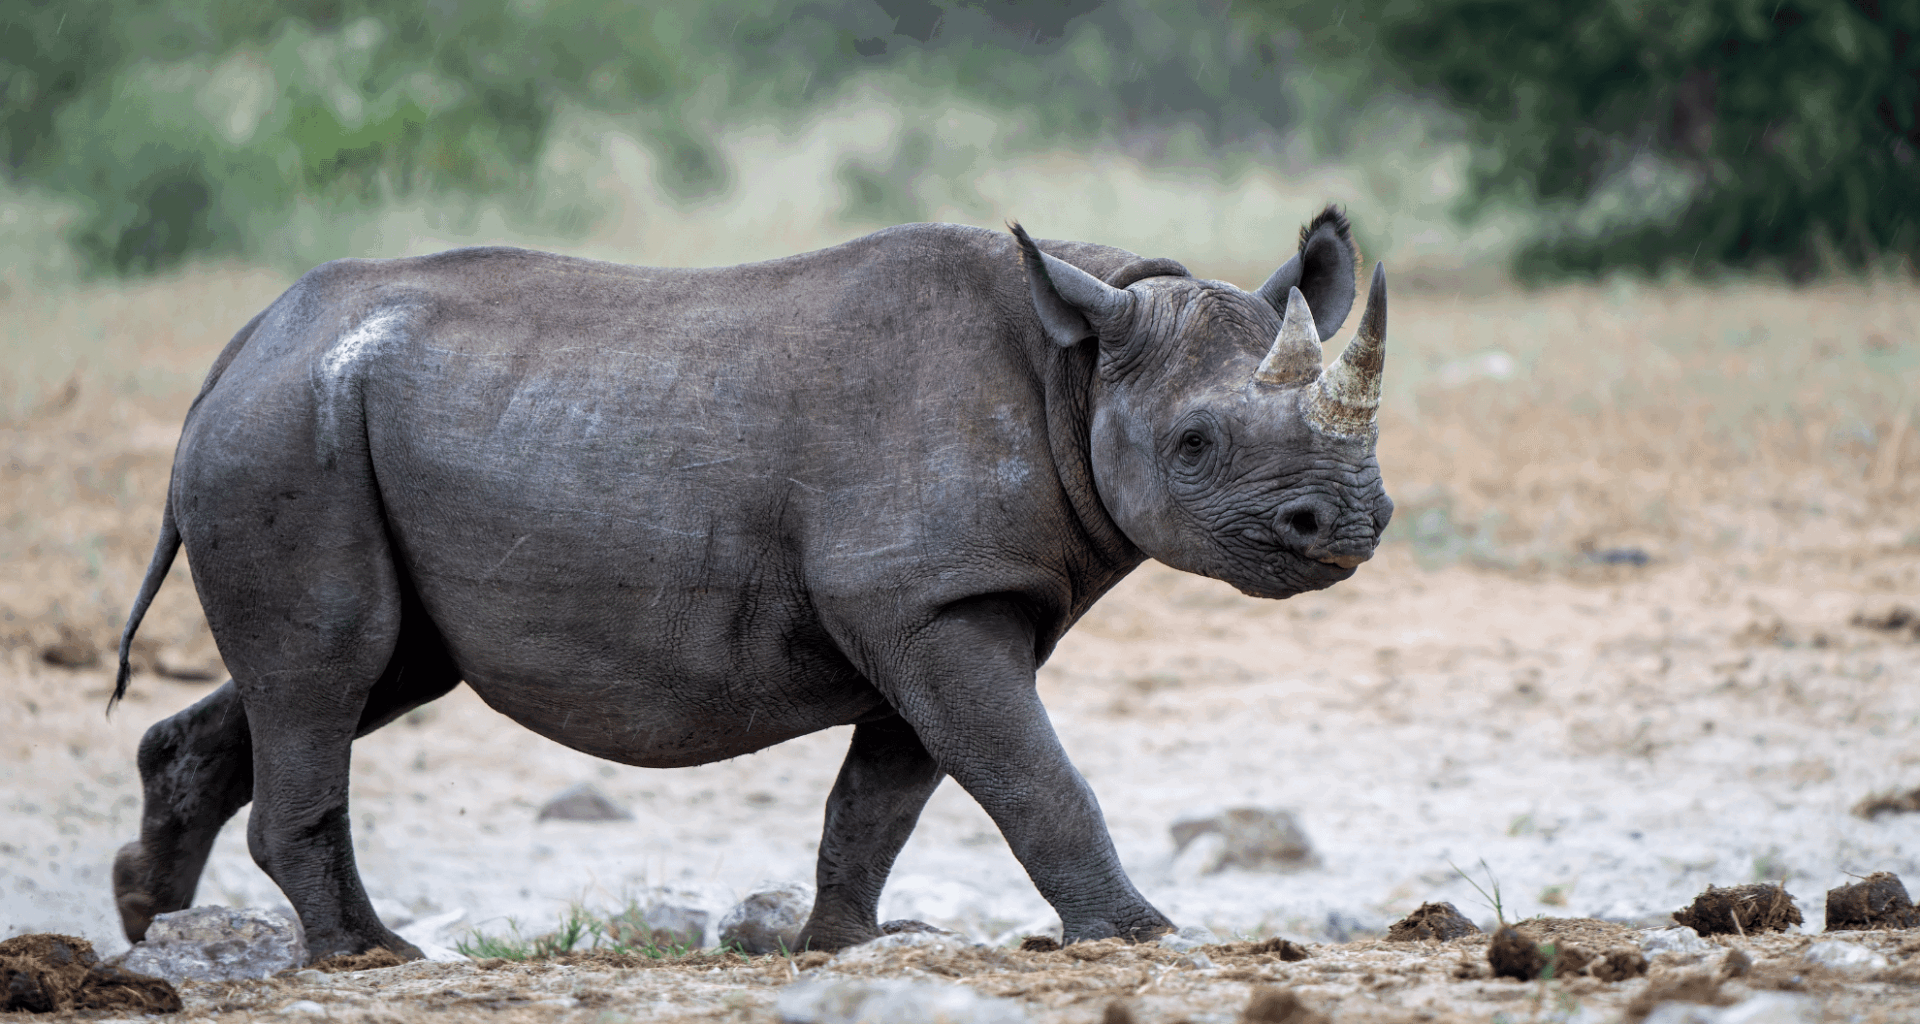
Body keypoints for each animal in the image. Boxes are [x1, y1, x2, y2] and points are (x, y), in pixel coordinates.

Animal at [111, 206, 1393, 960]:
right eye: (1195, 446)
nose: (1349, 523)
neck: (1075, 372)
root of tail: (241, 349)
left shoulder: (941, 603)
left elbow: (882, 799)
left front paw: (838, 946)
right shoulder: (931, 599)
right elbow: (1033, 776)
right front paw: (1142, 937)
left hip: (311, 423)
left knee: (365, 669)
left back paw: (149, 915)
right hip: (291, 431)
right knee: (329, 669)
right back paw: (367, 956)